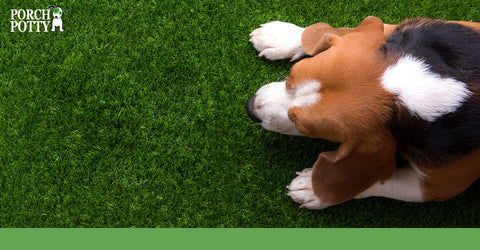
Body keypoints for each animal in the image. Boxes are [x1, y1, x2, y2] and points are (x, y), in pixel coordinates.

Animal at [248, 16, 480, 209]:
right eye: (291, 76)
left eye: (300, 126)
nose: (250, 107)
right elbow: (354, 29)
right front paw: (284, 37)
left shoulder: (439, 186)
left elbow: (378, 181)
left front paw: (314, 189)